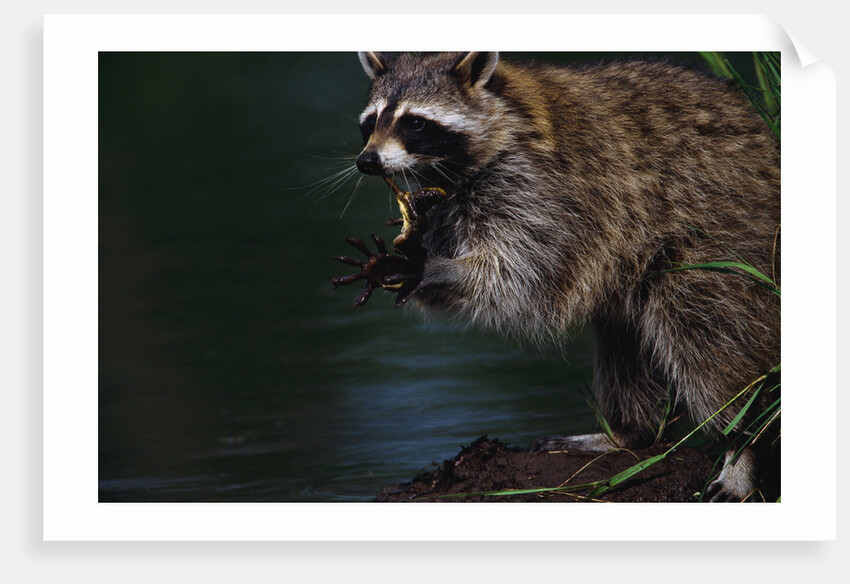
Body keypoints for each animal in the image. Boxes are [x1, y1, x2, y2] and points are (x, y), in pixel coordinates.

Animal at [351, 52, 780, 501]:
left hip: (726, 235)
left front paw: (433, 267)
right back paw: (630, 431)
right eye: (371, 121)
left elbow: (520, 271)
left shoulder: (545, 188)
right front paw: (412, 256)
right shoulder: (448, 199)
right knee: (622, 338)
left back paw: (741, 445)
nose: (367, 161)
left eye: (414, 122)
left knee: (703, 330)